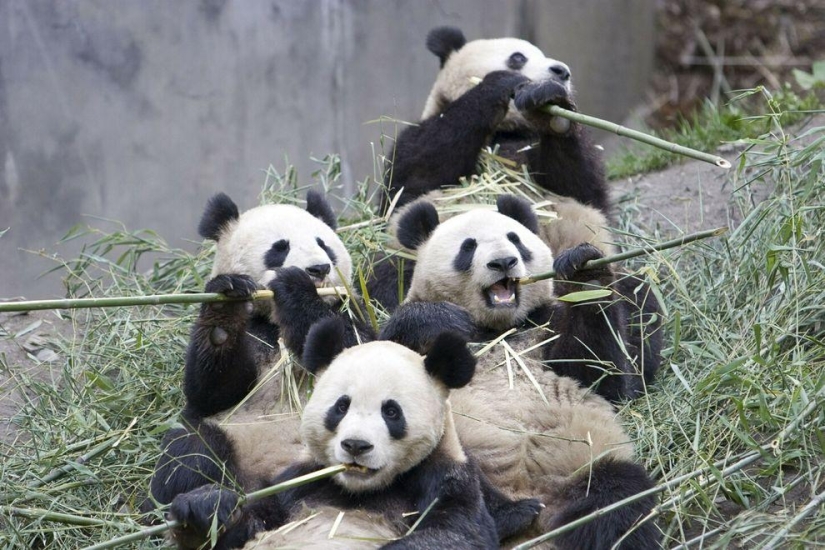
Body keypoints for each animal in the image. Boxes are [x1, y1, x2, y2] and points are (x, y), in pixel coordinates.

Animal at [148, 190, 374, 511]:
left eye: (324, 245)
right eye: (279, 248)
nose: (318, 269)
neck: (275, 321)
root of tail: (261, 476)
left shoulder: (353, 306)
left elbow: (360, 351)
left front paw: (294, 287)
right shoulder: (255, 334)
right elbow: (213, 392)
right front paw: (225, 306)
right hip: (229, 433)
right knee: (191, 450)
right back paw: (202, 501)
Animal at [166, 319, 542, 549]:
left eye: (391, 412)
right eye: (341, 406)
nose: (356, 445)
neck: (360, 490)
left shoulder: (443, 476)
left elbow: (455, 533)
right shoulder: (301, 481)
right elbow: (253, 522)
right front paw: (205, 509)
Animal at [378, 195, 661, 548]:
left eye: (515, 239)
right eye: (468, 247)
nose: (503, 262)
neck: (500, 330)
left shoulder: (544, 327)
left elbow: (597, 373)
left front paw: (585, 277)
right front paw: (441, 319)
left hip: (583, 465)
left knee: (617, 500)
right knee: (446, 473)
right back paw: (507, 515)